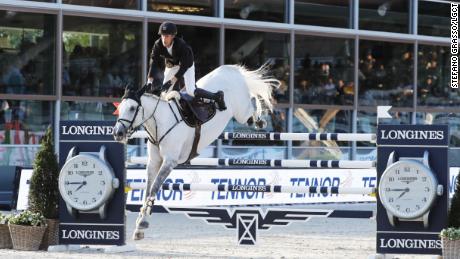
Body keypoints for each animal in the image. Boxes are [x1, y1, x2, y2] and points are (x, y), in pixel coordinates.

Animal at [113, 64, 278, 240]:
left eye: (132, 108)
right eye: (120, 108)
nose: (117, 133)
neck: (161, 123)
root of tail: (230, 70)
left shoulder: (169, 162)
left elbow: (154, 188)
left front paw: (142, 223)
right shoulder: (153, 163)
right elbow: (148, 189)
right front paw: (140, 225)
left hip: (241, 111)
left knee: (252, 102)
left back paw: (258, 120)